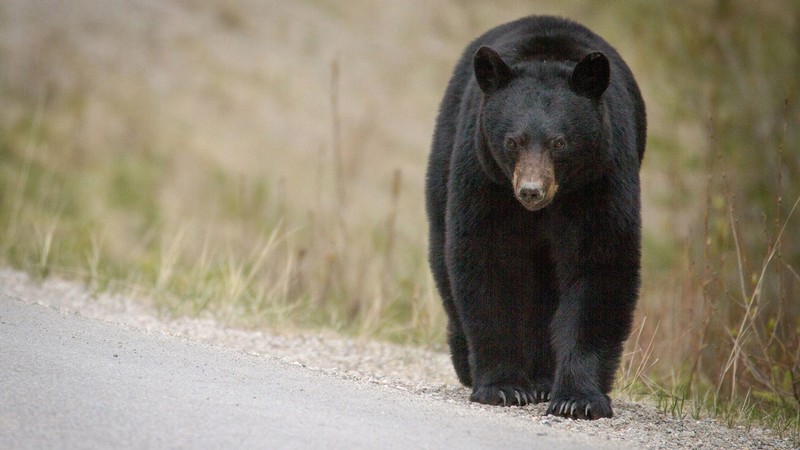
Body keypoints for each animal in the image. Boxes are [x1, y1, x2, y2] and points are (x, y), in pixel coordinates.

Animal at [425, 15, 646, 420]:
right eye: (512, 141)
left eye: (560, 142)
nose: (531, 191)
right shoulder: (485, 177)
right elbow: (486, 260)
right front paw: (504, 387)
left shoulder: (601, 177)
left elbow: (601, 265)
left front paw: (578, 398)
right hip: (445, 160)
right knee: (443, 255)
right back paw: (468, 363)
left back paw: (543, 378)